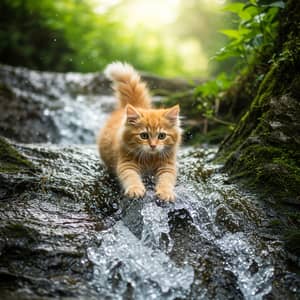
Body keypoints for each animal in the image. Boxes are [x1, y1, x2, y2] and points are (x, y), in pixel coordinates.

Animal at [98, 61, 182, 202]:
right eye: (144, 136)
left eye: (162, 136)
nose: (153, 145)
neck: (149, 159)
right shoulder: (126, 163)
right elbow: (131, 178)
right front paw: (135, 190)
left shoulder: (167, 166)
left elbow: (166, 181)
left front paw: (165, 193)